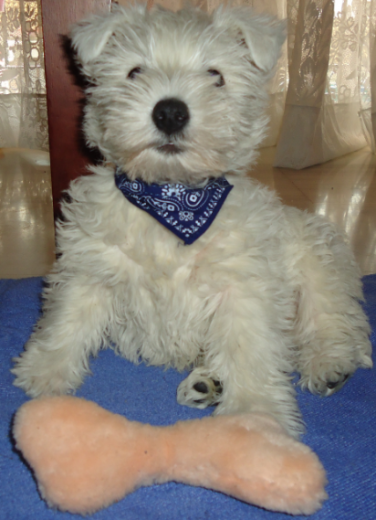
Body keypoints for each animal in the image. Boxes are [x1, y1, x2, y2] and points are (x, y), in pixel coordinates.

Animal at [11, 3, 370, 438]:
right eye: (134, 72)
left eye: (216, 75)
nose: (169, 112)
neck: (172, 199)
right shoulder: (91, 265)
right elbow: (68, 317)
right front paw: (44, 372)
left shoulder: (243, 285)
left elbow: (248, 347)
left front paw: (255, 413)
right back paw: (207, 382)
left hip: (320, 262)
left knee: (332, 320)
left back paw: (328, 365)